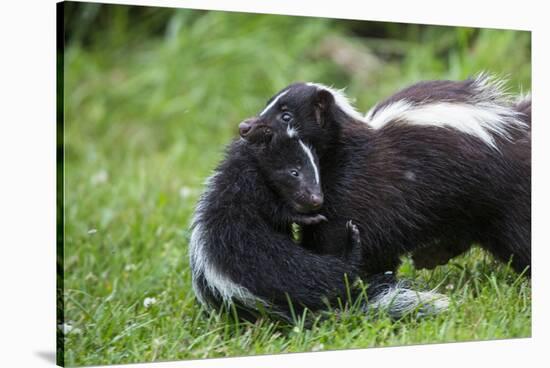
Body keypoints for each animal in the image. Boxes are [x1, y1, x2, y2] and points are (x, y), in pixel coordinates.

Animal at [242, 75, 536, 276]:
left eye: (286, 116)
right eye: (267, 106)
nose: (245, 126)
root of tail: (518, 127)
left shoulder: (362, 189)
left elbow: (342, 236)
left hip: (503, 194)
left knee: (518, 237)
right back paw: (428, 256)